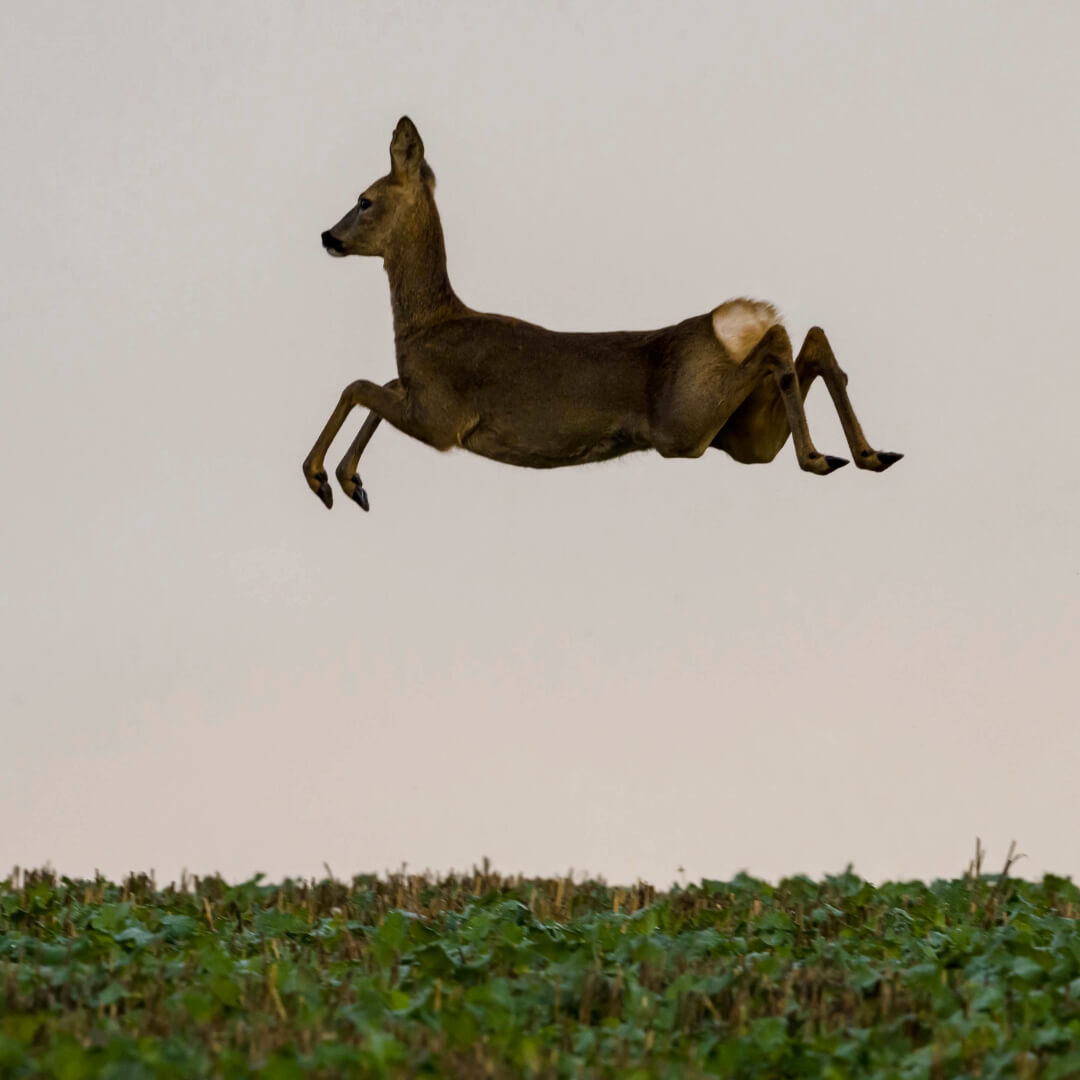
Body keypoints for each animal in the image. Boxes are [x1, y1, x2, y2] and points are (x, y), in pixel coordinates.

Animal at [302, 117, 901, 512]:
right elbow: (374, 385)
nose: (328, 236)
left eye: (364, 199)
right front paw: (351, 482)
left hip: (684, 424)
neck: (425, 326)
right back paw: (868, 454)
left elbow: (358, 385)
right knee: (809, 341)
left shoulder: (441, 417)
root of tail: (728, 321)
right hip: (739, 438)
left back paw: (824, 455)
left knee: (781, 341)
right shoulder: (419, 399)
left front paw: (323, 478)